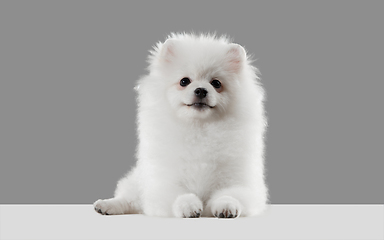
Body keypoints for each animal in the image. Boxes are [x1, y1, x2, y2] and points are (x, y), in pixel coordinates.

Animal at [93, 32, 268, 218]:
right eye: (184, 81)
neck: (199, 129)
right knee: (128, 199)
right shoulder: (164, 182)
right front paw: (189, 207)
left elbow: (230, 194)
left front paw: (226, 206)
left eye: (216, 83)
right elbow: (181, 195)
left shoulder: (238, 181)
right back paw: (106, 205)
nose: (201, 90)